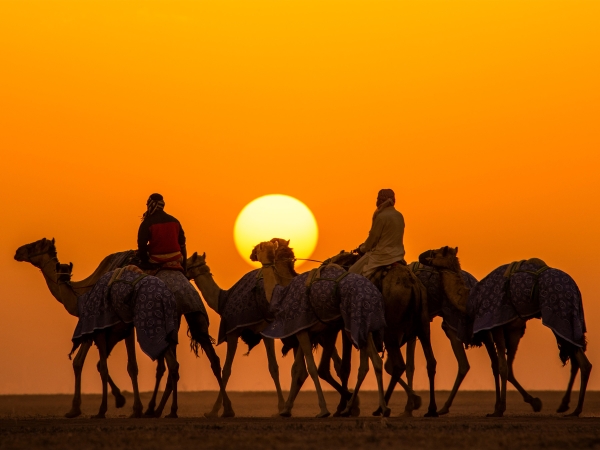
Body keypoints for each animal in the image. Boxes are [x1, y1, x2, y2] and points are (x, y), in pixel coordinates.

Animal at [256, 241, 390, 420]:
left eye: (260, 248)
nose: (252, 254)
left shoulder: (302, 330)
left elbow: (312, 369)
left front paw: (323, 410)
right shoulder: (305, 331)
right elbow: (298, 370)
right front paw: (286, 409)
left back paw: (354, 407)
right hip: (365, 325)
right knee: (373, 362)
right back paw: (378, 408)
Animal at [422, 246, 592, 418]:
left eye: (435, 252)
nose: (422, 256)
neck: (471, 299)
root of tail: (575, 288)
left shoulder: (496, 322)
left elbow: (503, 367)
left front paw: (499, 409)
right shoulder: (513, 328)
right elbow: (508, 368)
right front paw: (534, 402)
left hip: (560, 313)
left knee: (581, 361)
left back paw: (574, 409)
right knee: (582, 361)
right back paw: (572, 408)